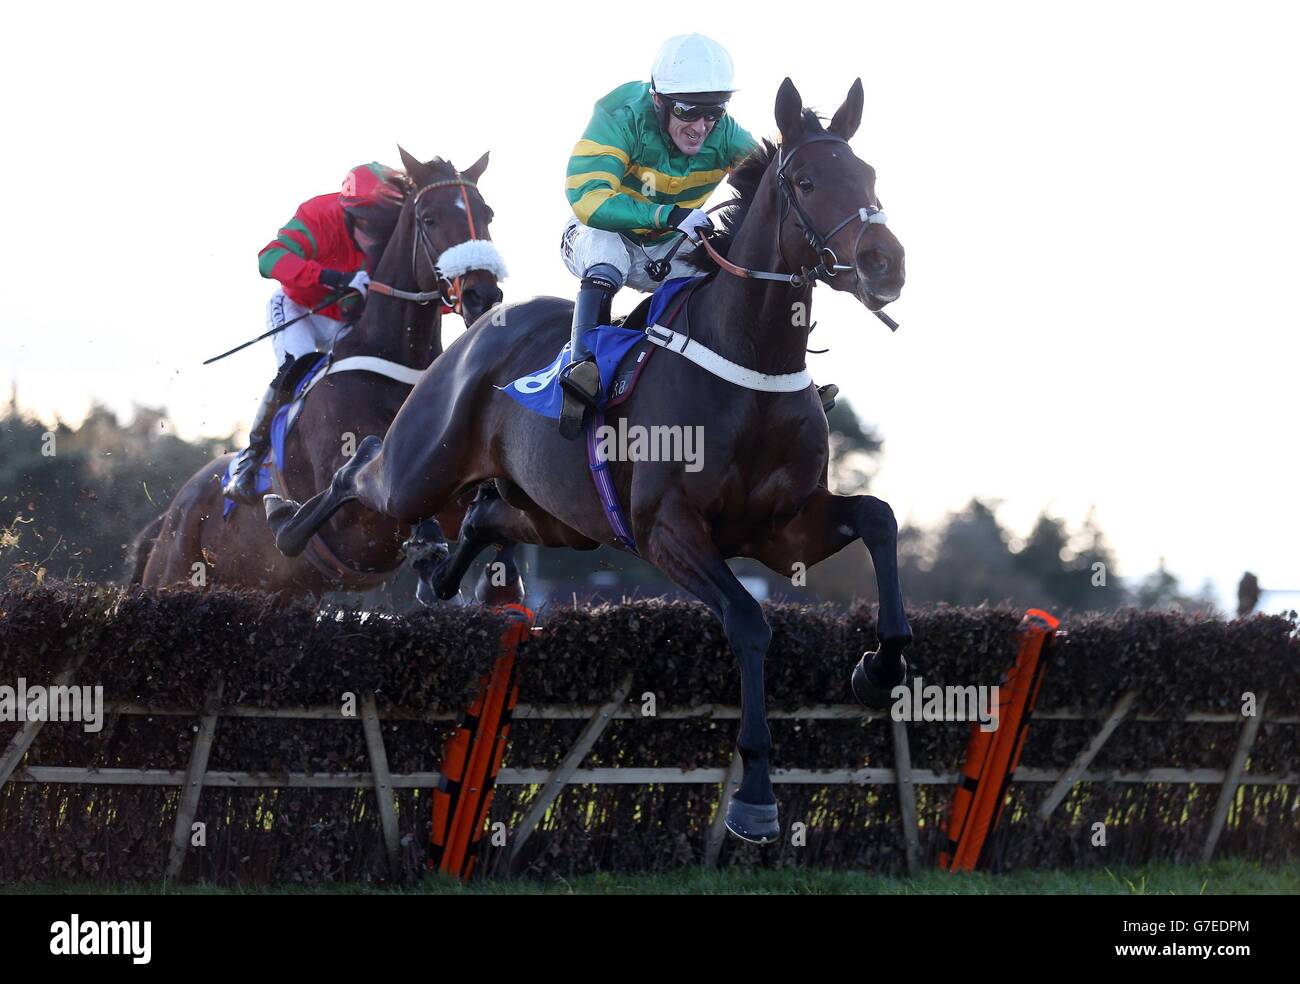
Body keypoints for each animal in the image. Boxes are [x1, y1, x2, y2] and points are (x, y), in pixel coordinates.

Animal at [135, 148, 512, 602]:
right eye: (429, 219)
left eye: (487, 213)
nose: (481, 294)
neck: (392, 370)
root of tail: (168, 519)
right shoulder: (349, 525)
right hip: (171, 576)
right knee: (289, 364)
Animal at [264, 79, 912, 843]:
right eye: (808, 182)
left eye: (870, 175)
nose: (885, 263)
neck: (751, 362)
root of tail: (479, 328)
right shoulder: (667, 529)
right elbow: (749, 622)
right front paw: (755, 794)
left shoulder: (781, 531)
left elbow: (879, 519)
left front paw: (879, 668)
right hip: (420, 469)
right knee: (360, 467)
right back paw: (285, 521)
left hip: (561, 520)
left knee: (481, 517)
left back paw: (435, 577)